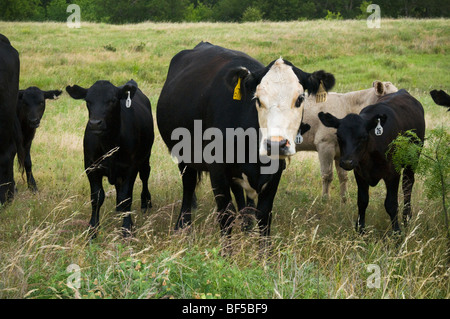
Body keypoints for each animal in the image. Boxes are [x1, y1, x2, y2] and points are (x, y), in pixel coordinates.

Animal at [65, 79, 155, 236]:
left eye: (112, 100)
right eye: (88, 101)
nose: (95, 123)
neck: (109, 145)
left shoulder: (131, 167)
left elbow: (126, 197)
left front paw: (127, 229)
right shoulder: (91, 167)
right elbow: (96, 197)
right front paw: (93, 230)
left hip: (145, 157)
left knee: (145, 176)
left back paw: (145, 203)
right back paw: (118, 208)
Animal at [157, 41, 334, 239]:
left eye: (300, 98)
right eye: (258, 99)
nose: (276, 144)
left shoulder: (275, 172)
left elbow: (264, 216)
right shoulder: (217, 170)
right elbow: (225, 215)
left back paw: (245, 223)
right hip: (183, 155)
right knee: (188, 185)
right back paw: (183, 225)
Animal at [316, 90, 426, 235]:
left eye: (363, 137)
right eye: (339, 136)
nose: (347, 162)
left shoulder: (393, 173)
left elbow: (391, 204)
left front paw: (397, 232)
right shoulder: (359, 173)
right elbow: (362, 201)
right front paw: (360, 229)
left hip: (412, 159)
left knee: (407, 185)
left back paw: (407, 217)